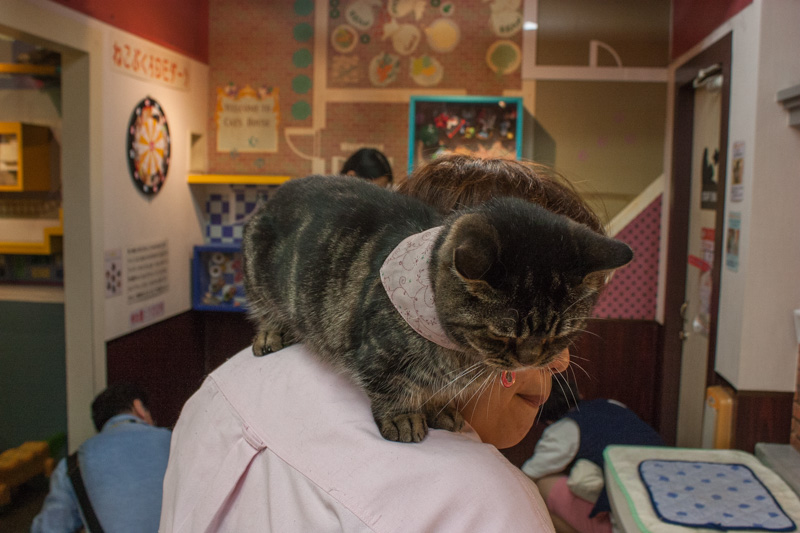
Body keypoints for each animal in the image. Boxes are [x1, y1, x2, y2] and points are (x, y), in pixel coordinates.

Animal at [242, 175, 633, 443]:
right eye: (501, 335)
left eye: (560, 335)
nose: (530, 360)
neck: (458, 353)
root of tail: (279, 191)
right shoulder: (376, 356)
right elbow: (392, 388)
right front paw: (404, 417)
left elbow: (436, 393)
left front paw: (438, 411)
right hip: (258, 275)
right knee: (265, 310)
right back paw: (271, 332)